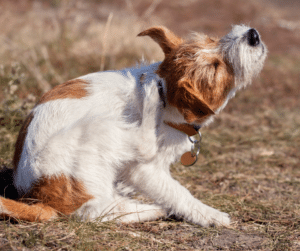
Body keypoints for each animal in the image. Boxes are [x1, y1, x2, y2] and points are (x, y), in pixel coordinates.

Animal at [0, 24, 268, 226]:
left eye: (212, 39)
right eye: (215, 67)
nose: (253, 35)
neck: (167, 93)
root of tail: (39, 198)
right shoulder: (145, 170)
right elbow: (177, 192)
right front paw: (209, 215)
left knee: (107, 209)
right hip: (99, 128)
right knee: (96, 210)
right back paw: (150, 97)